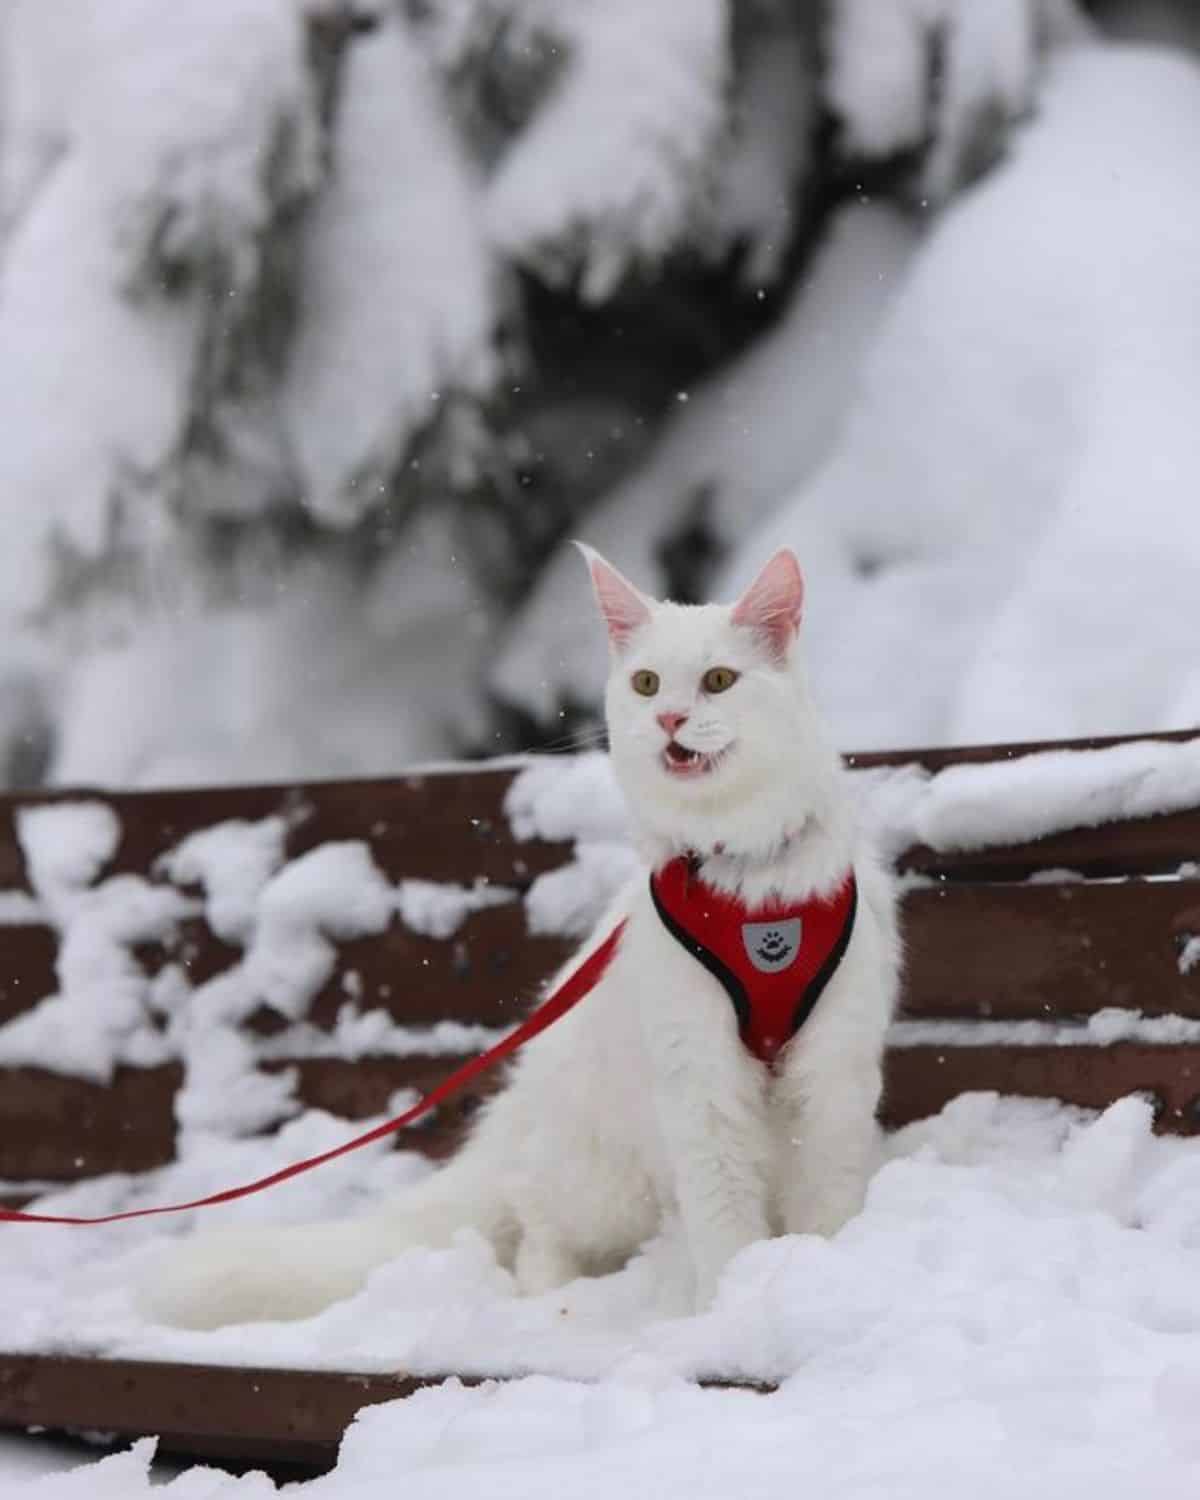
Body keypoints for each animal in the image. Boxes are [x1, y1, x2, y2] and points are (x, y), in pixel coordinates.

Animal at [145, 549, 894, 1326]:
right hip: (603, 1182)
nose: (669, 717)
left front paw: (816, 1271)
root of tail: (517, 1111)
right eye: (646, 683)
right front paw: (732, 1304)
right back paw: (552, 1302)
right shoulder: (700, 1084)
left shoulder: (834, 1070)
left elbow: (829, 1201)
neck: (744, 875)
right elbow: (724, 1221)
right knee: (536, 1233)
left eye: (719, 680)